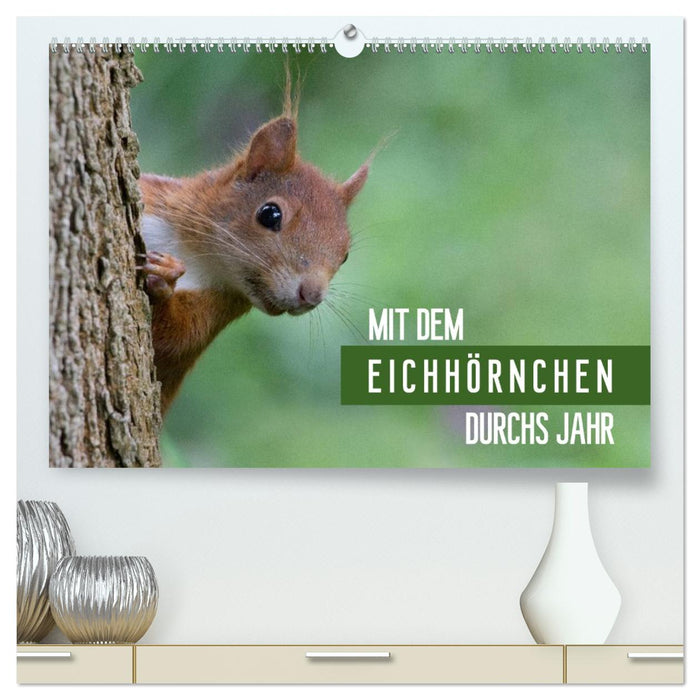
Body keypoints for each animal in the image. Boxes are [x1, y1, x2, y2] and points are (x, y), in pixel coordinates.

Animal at [138, 92, 370, 415]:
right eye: (270, 214)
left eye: (345, 253)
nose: (312, 295)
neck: (193, 252)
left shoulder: (219, 307)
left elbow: (175, 338)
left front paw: (164, 280)